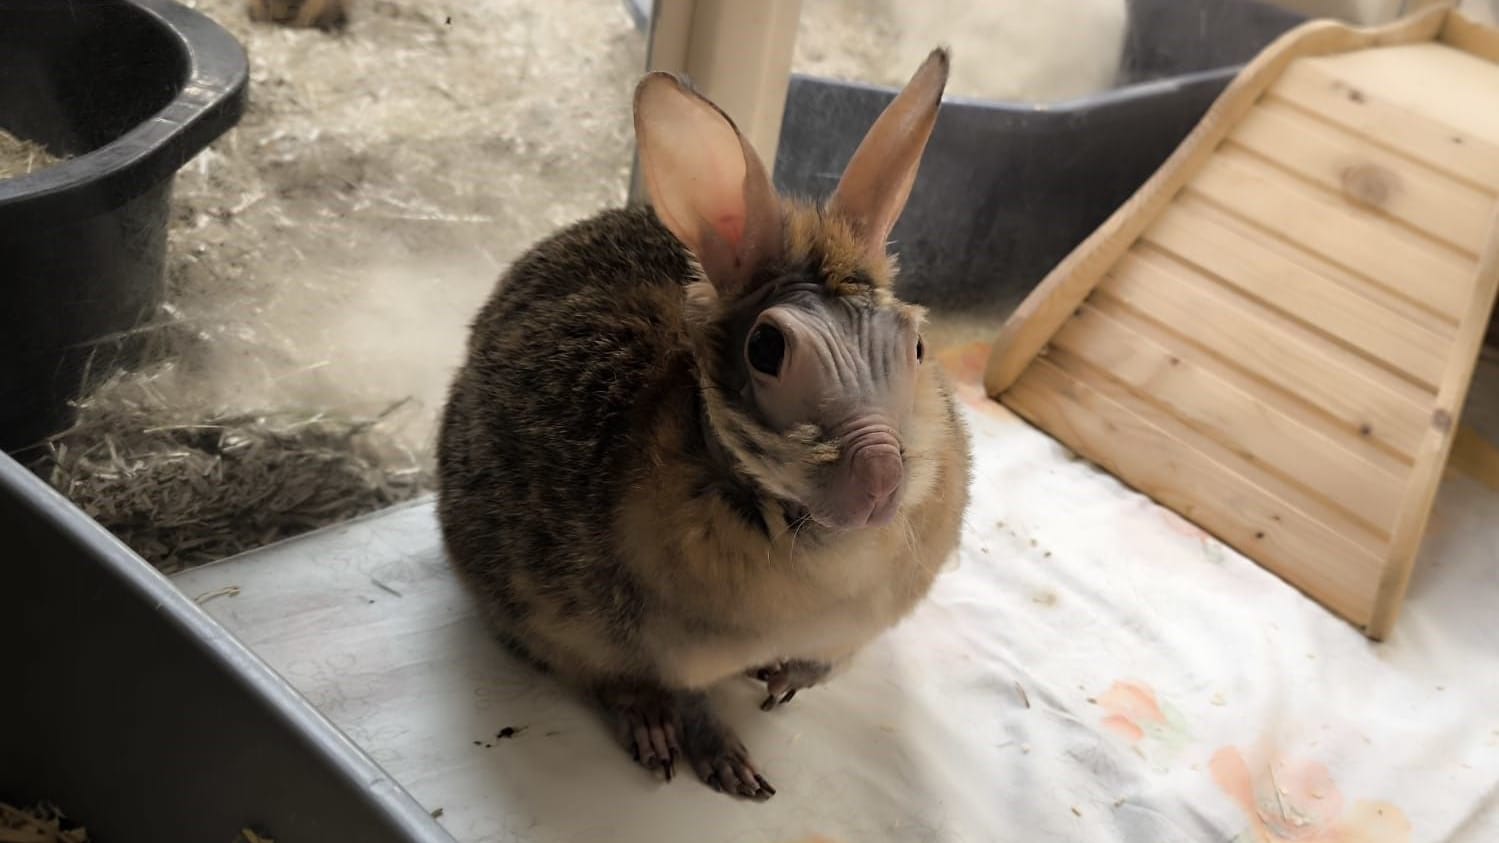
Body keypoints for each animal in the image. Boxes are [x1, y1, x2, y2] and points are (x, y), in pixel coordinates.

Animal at [434, 49, 971, 798]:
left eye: (916, 344)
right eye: (767, 349)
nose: (879, 479)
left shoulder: (853, 629)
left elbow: (817, 665)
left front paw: (781, 682)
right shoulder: (669, 647)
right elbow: (687, 698)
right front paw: (730, 768)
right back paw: (651, 732)